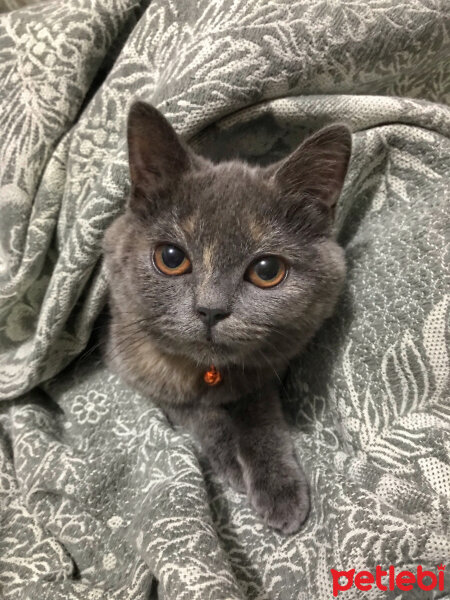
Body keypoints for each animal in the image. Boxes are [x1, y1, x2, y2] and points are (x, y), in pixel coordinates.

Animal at [103, 102, 350, 536]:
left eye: (267, 270)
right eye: (171, 258)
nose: (210, 309)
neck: (208, 374)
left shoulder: (268, 367)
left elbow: (260, 415)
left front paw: (279, 489)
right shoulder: (136, 368)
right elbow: (199, 416)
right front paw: (232, 461)